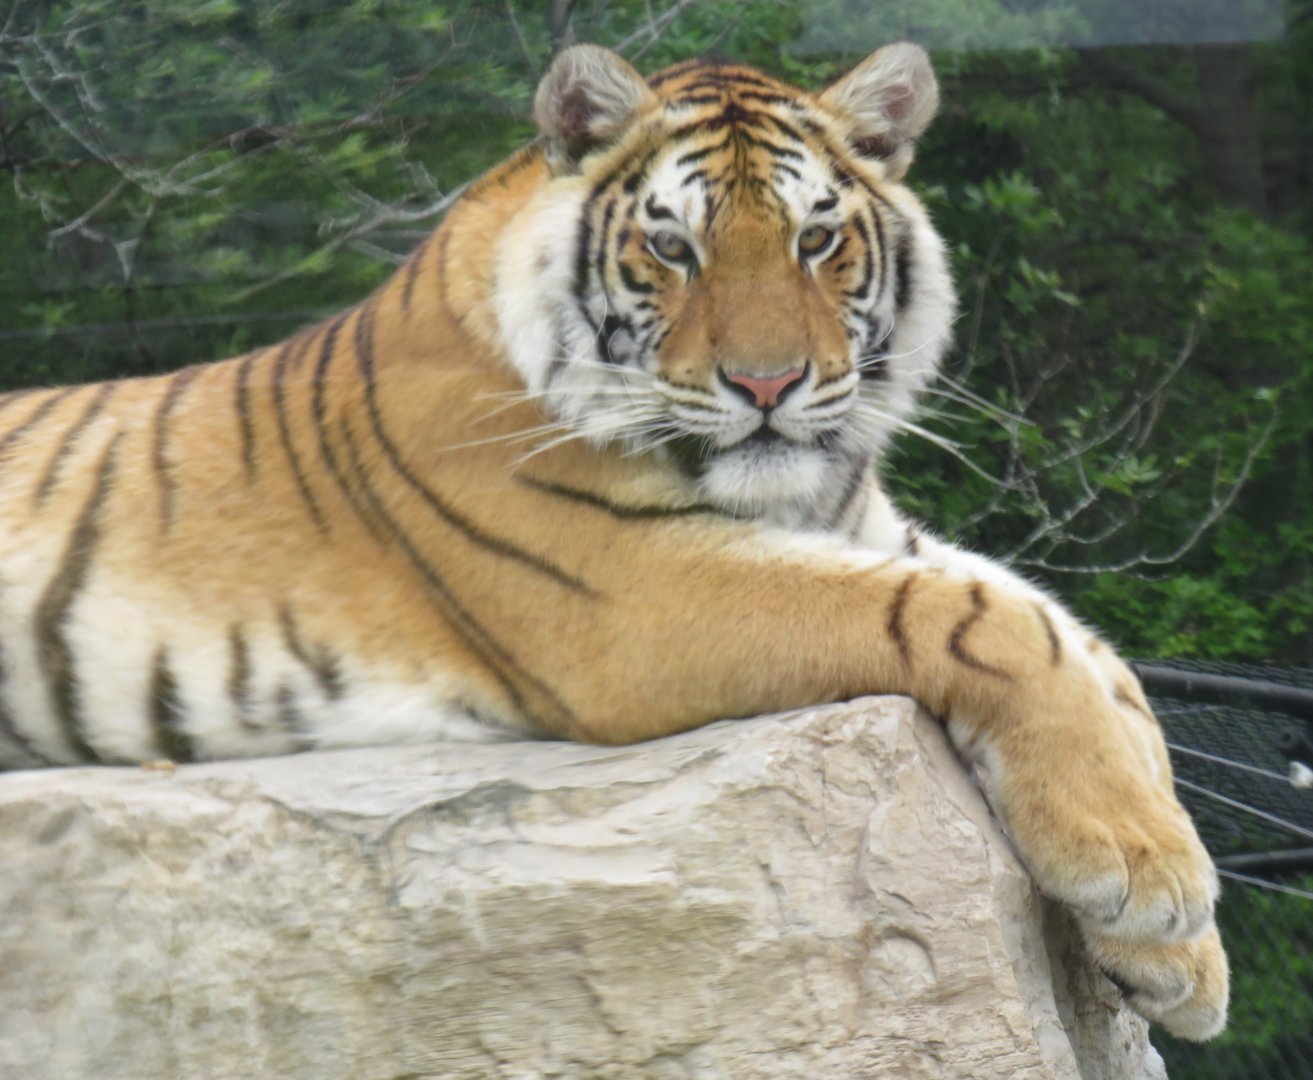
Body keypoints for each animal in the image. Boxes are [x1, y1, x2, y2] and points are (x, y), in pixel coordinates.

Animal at [0, 42, 1227, 1039]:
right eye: (673, 246)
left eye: (815, 239)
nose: (767, 385)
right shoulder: (633, 597)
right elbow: (989, 623)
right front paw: (1144, 871)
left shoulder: (868, 531)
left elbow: (1095, 656)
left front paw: (1176, 955)